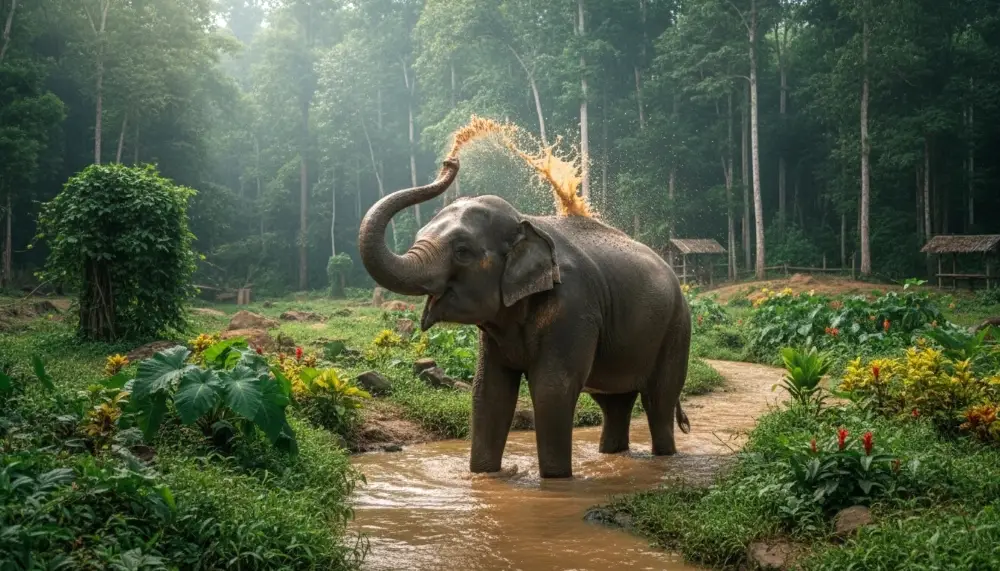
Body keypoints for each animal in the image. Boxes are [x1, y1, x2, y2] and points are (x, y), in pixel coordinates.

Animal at [358, 158, 691, 478]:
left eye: (462, 251)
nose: (450, 163)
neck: (525, 221)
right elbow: (489, 392)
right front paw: (484, 476)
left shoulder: (573, 307)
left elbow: (551, 390)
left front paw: (555, 481)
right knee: (615, 405)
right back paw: (613, 454)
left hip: (677, 329)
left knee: (658, 401)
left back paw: (665, 457)